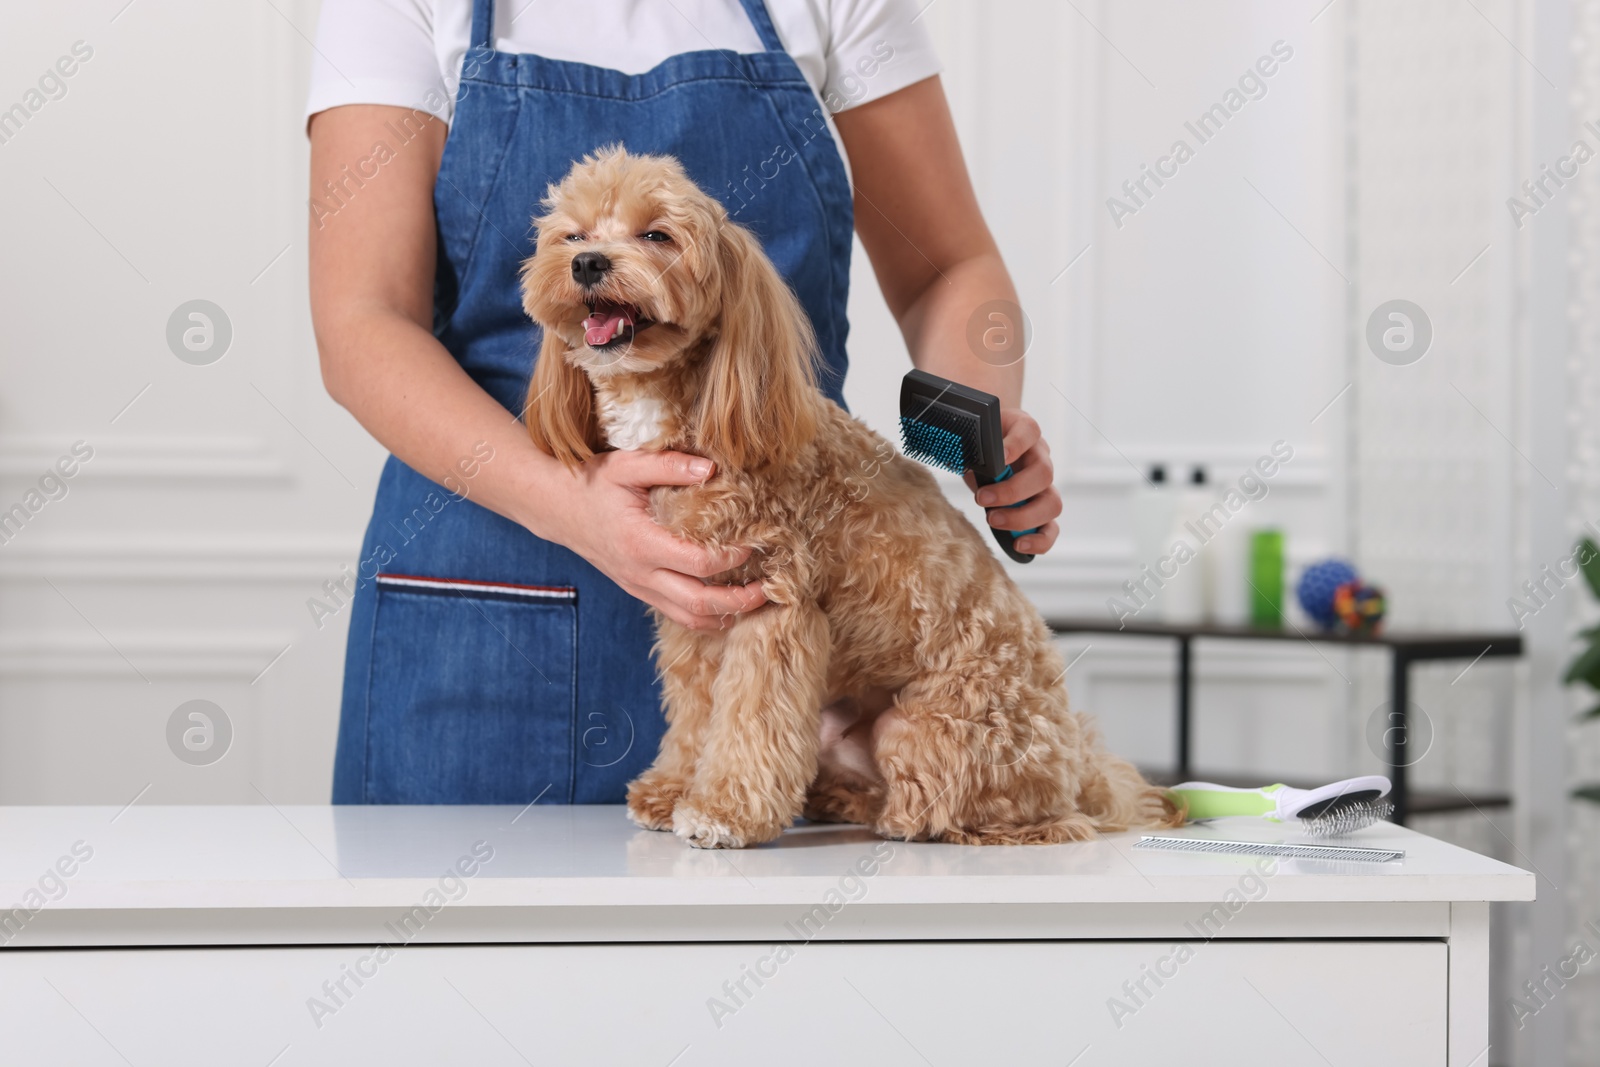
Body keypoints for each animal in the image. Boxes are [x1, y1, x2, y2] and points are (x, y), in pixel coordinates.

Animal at [518, 147, 1184, 851]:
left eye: (656, 235)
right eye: (573, 236)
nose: (588, 264)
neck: (691, 410)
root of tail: (1079, 764)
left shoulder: (774, 608)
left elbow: (748, 719)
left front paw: (723, 811)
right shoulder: (695, 614)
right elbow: (698, 714)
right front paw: (673, 789)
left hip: (928, 728)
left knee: (994, 817)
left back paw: (906, 817)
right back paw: (837, 797)